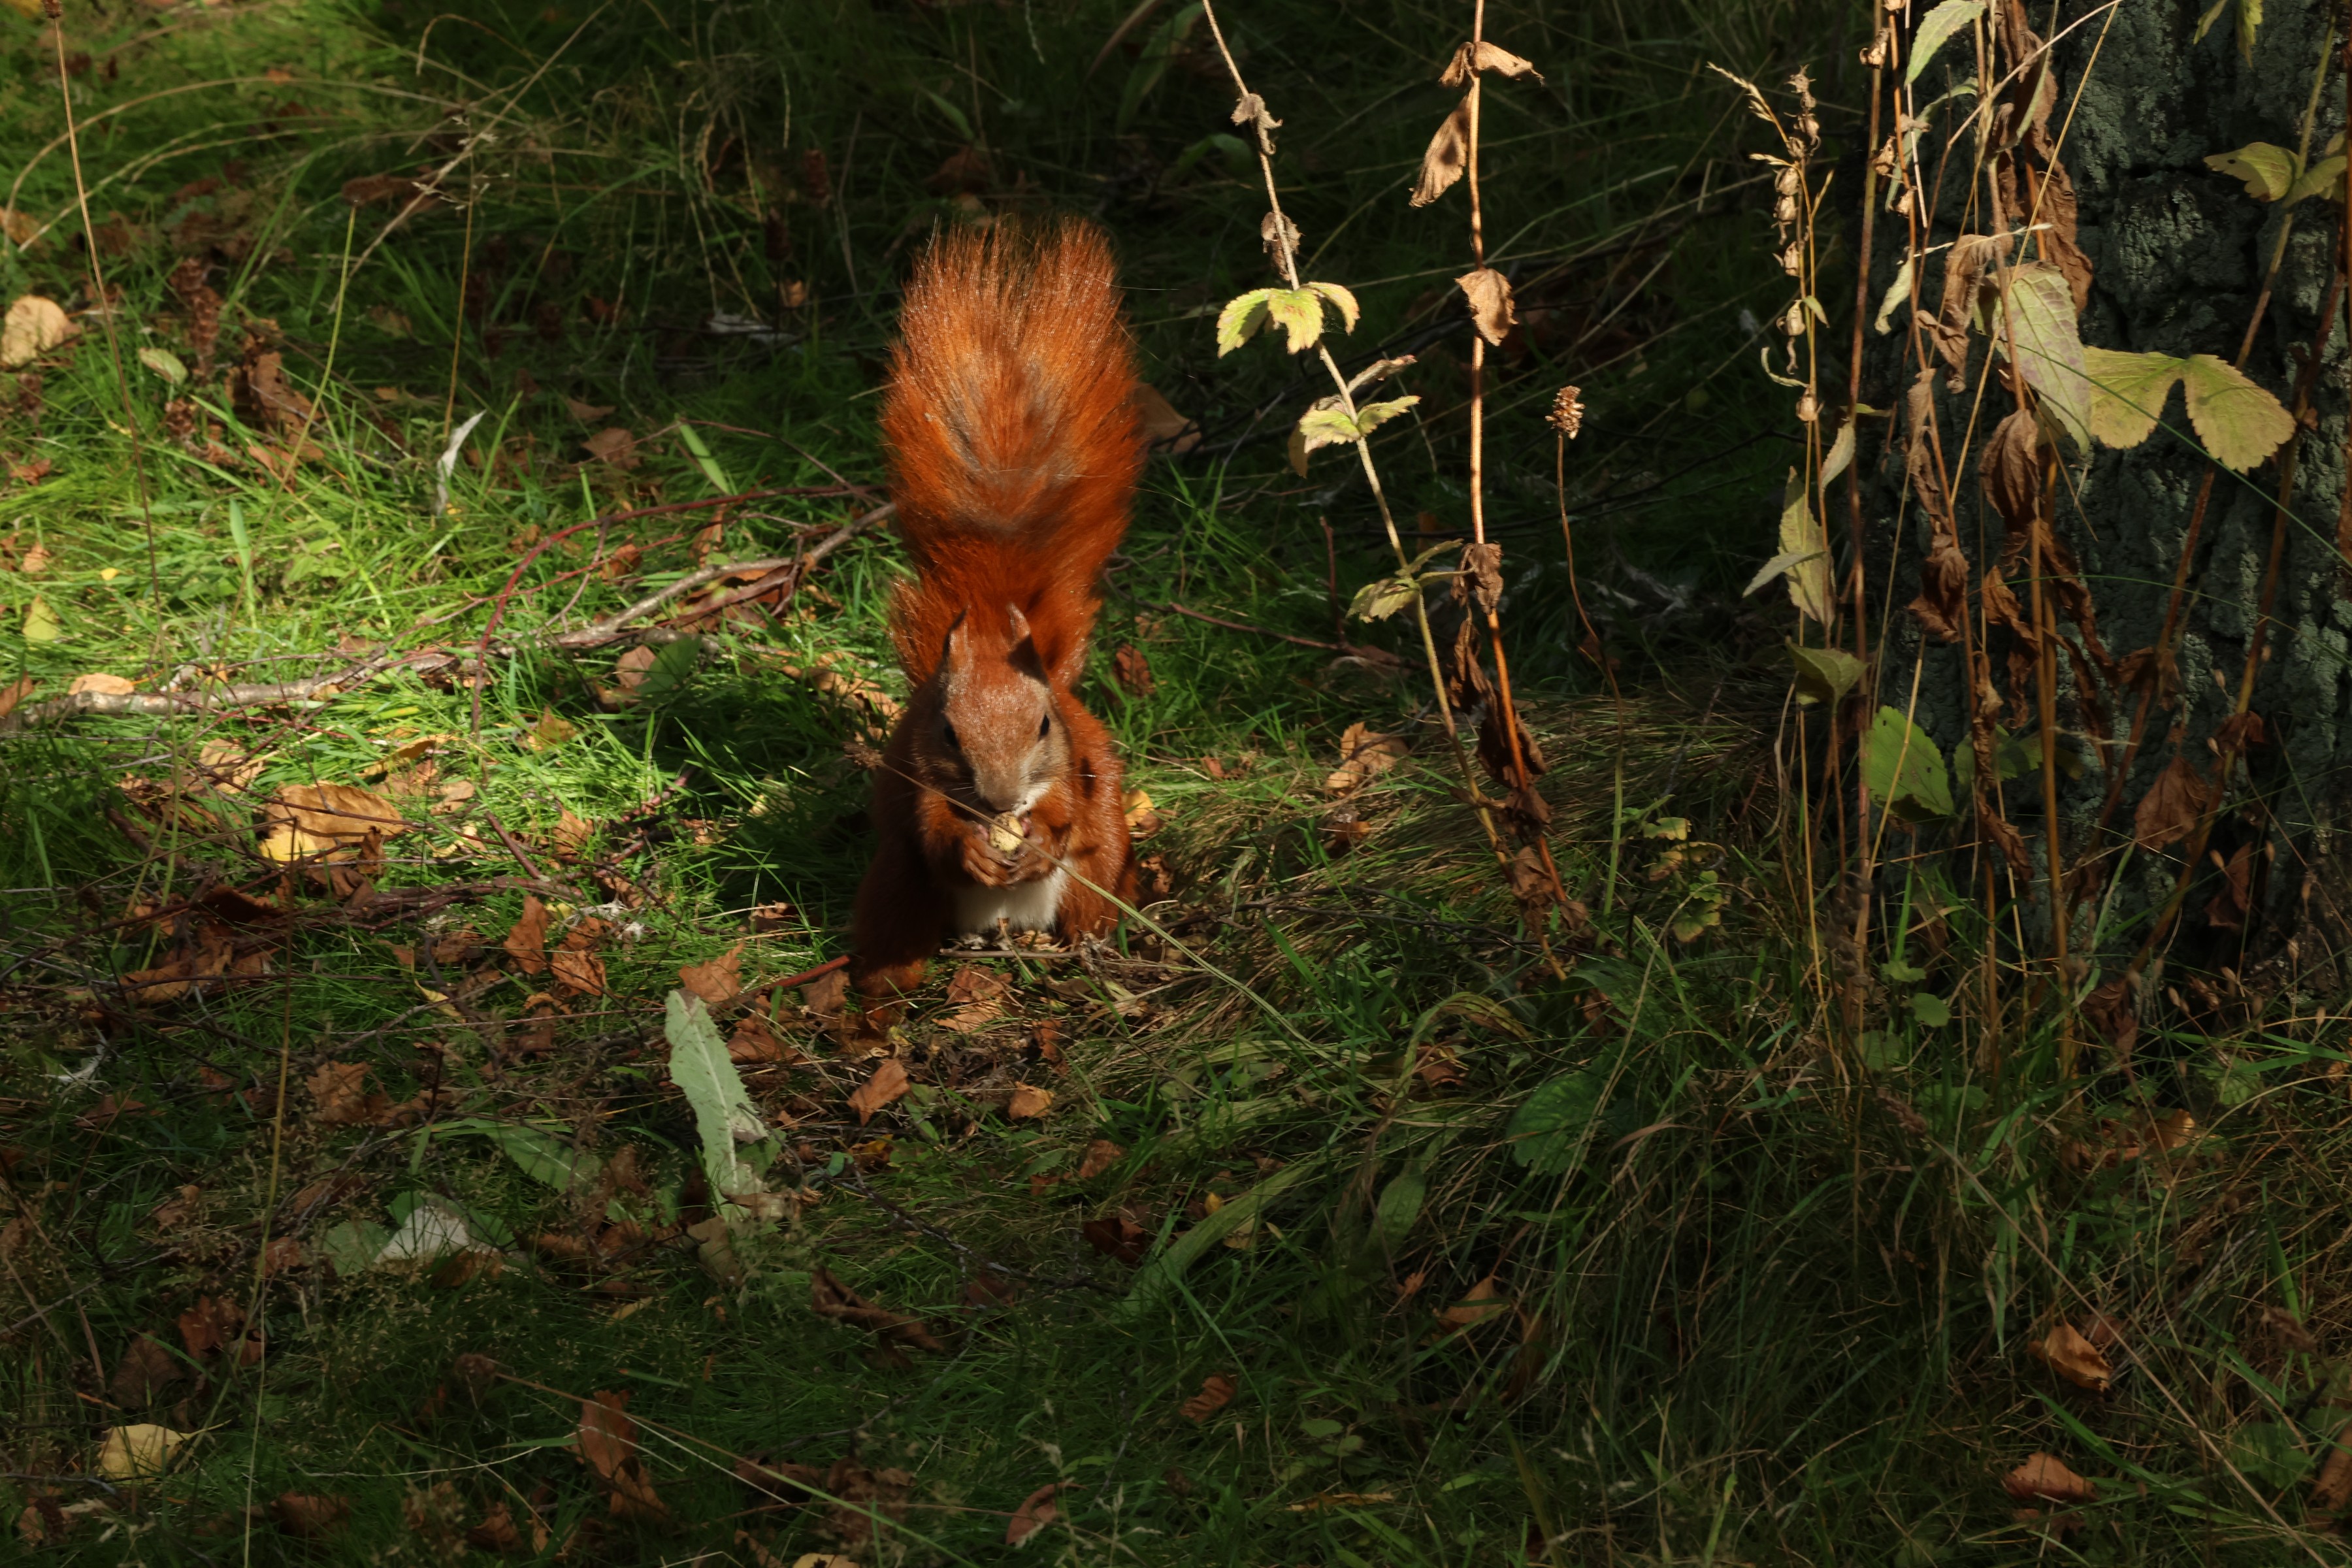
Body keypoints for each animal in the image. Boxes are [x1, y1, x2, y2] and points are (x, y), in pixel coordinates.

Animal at [849, 219, 1145, 997]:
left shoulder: (1072, 767)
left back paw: (1092, 952)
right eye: (949, 731)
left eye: (1044, 724)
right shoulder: (919, 774)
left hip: (1103, 867)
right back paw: (879, 998)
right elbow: (933, 827)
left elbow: (1069, 809)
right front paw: (973, 848)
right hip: (896, 886)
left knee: (1091, 884)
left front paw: (1040, 839)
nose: (1002, 801)